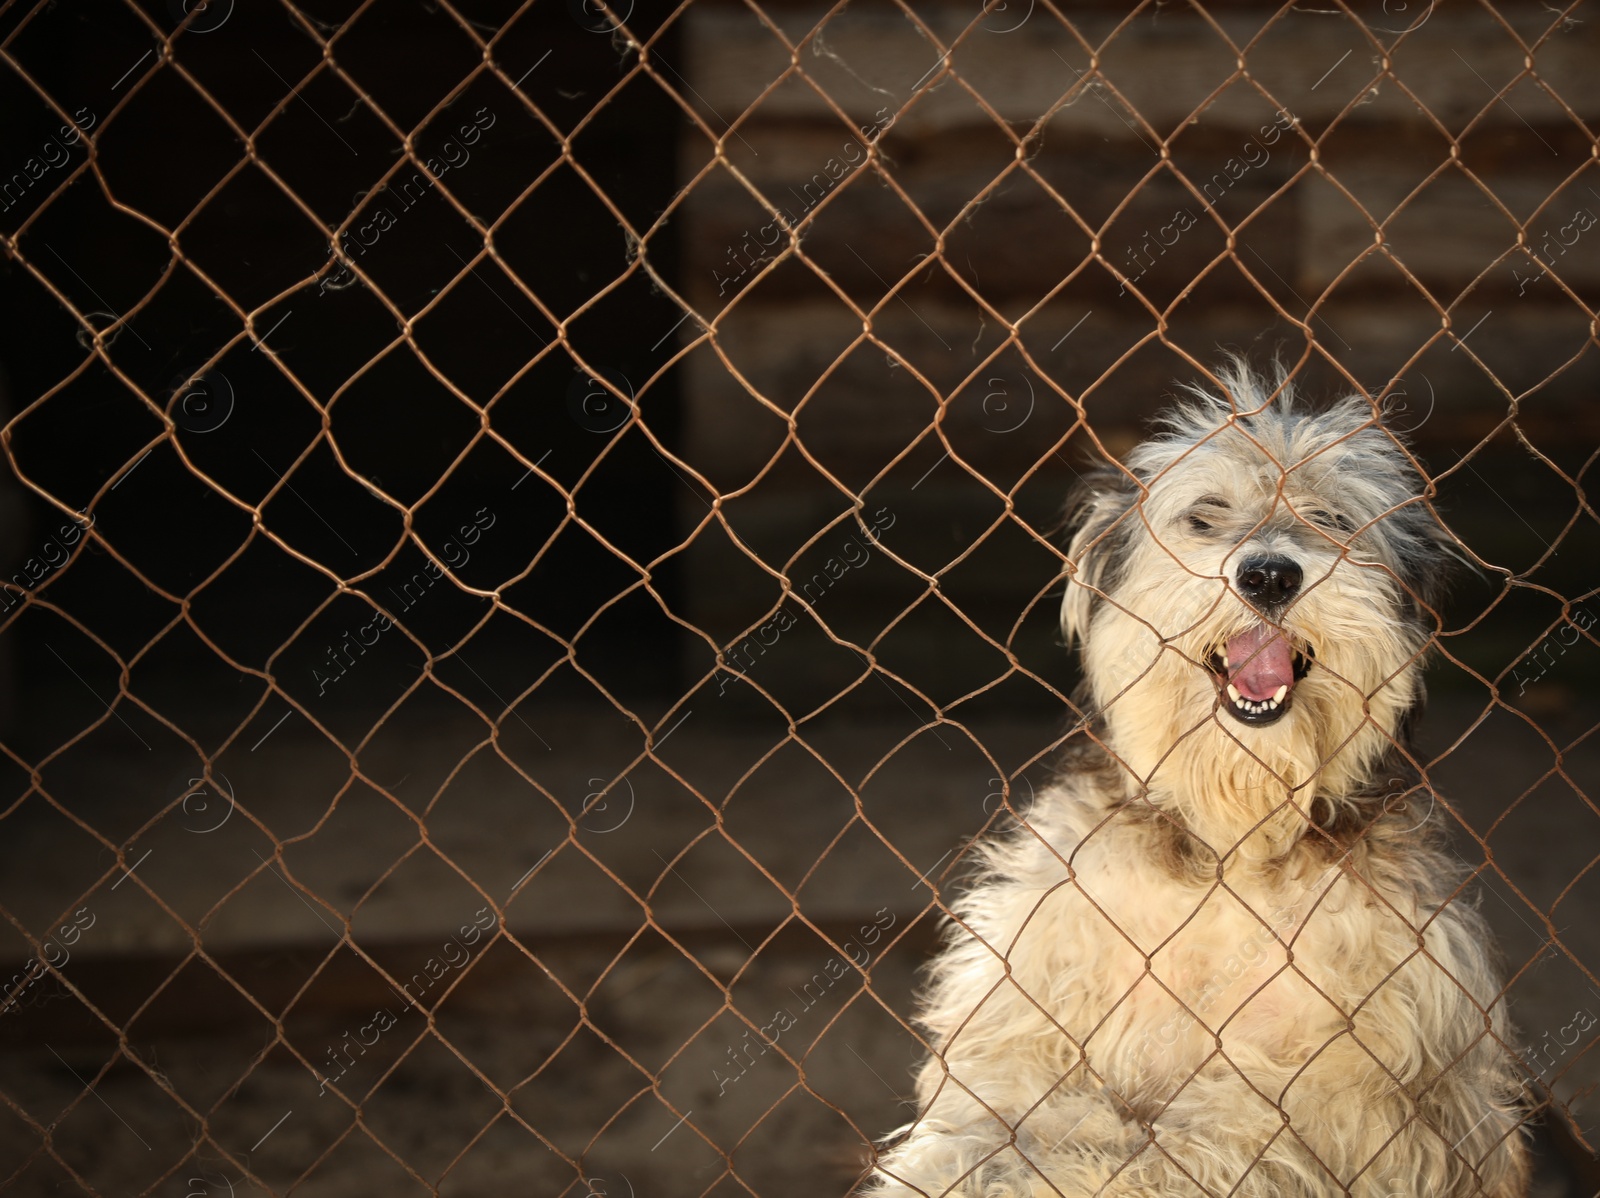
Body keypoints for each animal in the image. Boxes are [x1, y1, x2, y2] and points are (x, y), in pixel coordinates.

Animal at [870, 361, 1529, 1196]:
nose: (1270, 574)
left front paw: (1084, 1155)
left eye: (1331, 517)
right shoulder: (1019, 1012)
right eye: (1206, 517)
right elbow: (987, 1116)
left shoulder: (1370, 1107)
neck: (1231, 846)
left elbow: (1203, 1139)